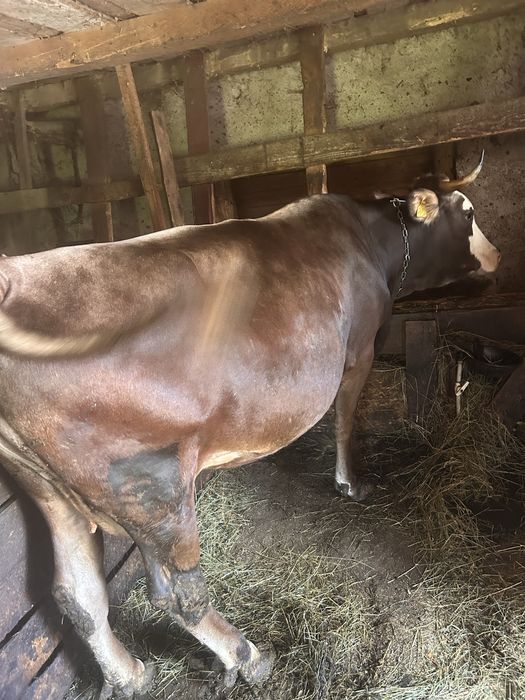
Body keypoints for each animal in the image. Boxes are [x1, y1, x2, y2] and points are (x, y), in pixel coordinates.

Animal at [0, 154, 499, 697]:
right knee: (178, 594)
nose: (498, 254)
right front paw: (350, 482)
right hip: (151, 483)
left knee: (79, 595)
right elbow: (346, 418)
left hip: (48, 487)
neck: (371, 241)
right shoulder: (360, 347)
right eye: (470, 212)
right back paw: (248, 656)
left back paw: (130, 674)